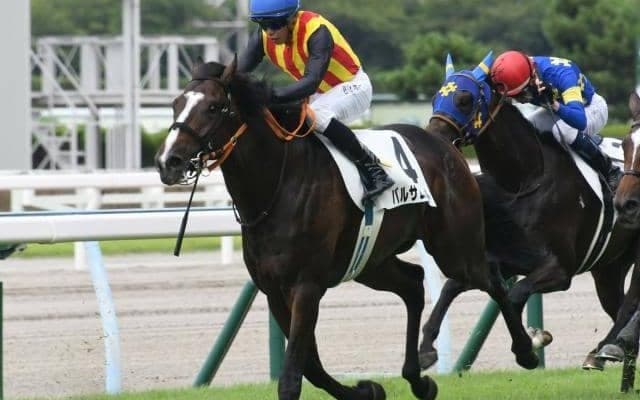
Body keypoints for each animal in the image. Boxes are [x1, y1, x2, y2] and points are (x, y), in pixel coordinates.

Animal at [154, 57, 540, 400]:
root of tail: (445, 144)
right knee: (413, 284)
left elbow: (293, 374)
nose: (168, 161)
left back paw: (526, 351)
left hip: (455, 248)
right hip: (370, 261)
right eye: (175, 104)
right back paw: (418, 380)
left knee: (490, 279)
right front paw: (367, 389)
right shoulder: (274, 289)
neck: (278, 186)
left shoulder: (306, 286)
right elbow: (311, 366)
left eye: (215, 107)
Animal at [418, 54, 640, 372]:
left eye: (464, 99)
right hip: (609, 267)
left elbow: (515, 294)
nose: (433, 137)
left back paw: (606, 349)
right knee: (618, 305)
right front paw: (425, 348)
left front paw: (531, 343)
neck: (522, 180)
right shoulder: (502, 258)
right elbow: (452, 287)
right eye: (437, 97)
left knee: (628, 305)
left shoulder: (559, 269)